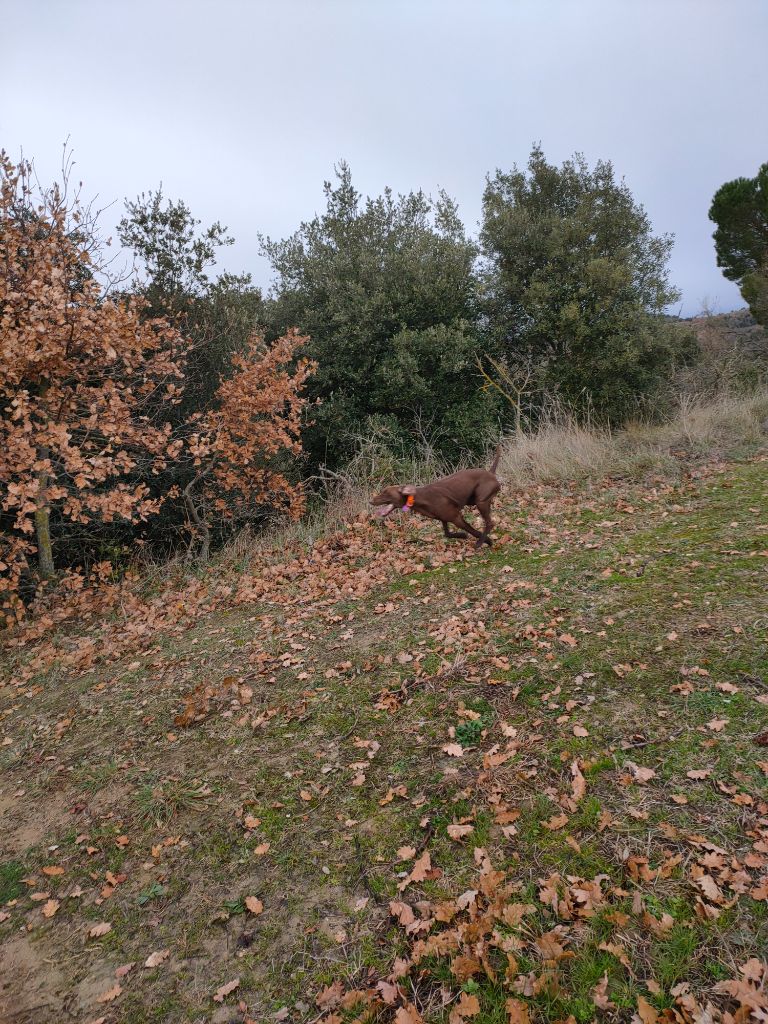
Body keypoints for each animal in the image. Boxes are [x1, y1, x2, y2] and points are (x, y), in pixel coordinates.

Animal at [370, 446, 501, 548]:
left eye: (386, 493)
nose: (371, 501)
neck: (422, 498)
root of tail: (490, 473)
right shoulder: (444, 519)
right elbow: (447, 534)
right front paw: (462, 536)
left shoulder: (456, 517)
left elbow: (471, 530)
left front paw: (486, 541)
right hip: (473, 500)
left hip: (481, 501)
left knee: (490, 523)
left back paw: (481, 542)